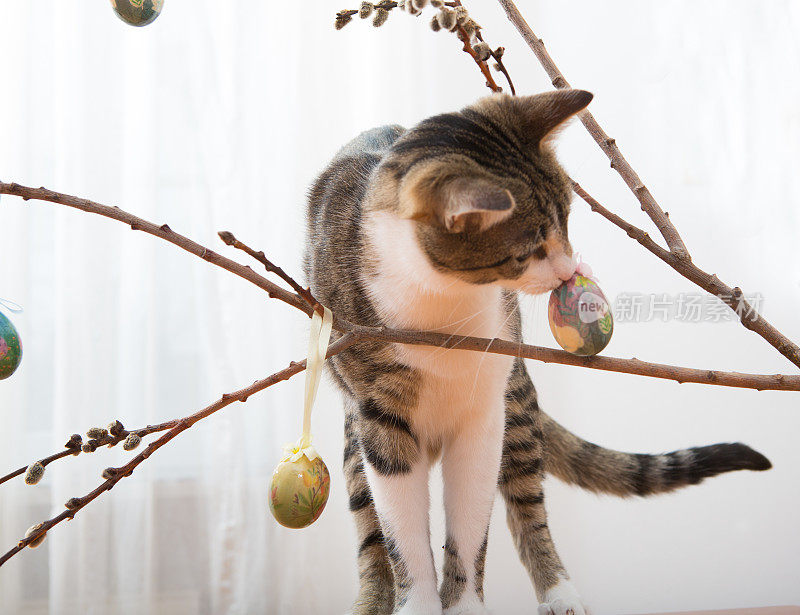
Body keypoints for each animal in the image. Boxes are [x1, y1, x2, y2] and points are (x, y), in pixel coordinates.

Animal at [304, 90, 772, 615]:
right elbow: (400, 531)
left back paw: (560, 591)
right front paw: (420, 604)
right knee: (369, 532)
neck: (445, 302)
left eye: (567, 218)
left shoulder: (486, 409)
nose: (570, 270)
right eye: (527, 250)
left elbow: (471, 526)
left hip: (517, 403)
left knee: (528, 503)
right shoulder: (380, 417)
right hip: (356, 436)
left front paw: (465, 606)